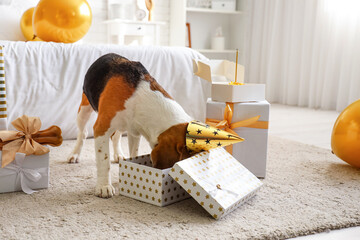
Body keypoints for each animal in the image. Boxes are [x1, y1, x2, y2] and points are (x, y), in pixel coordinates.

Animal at [69, 53, 195, 198]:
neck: (141, 98)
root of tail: (108, 54)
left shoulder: (134, 132)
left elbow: (134, 154)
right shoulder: (101, 129)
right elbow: (104, 162)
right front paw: (104, 186)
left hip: (122, 125)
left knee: (115, 136)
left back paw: (118, 154)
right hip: (84, 111)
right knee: (82, 133)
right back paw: (75, 154)